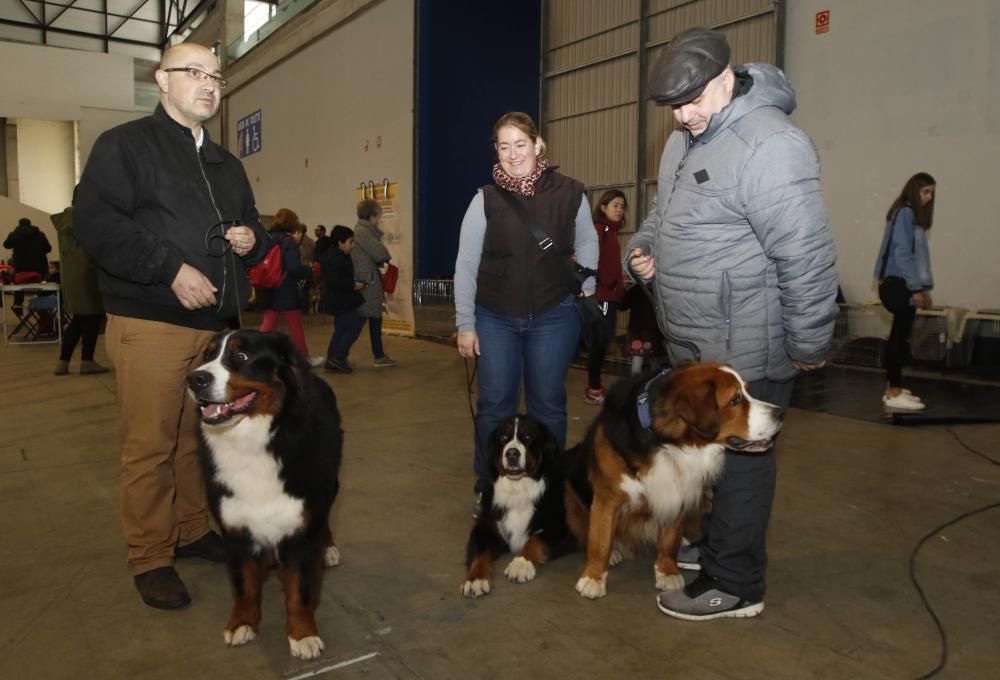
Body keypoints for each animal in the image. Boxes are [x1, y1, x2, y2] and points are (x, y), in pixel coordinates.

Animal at [188, 330, 344, 660]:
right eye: (207, 355)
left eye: (241, 356)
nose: (195, 379)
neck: (251, 442)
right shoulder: (235, 529)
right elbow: (244, 586)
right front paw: (242, 624)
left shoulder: (300, 528)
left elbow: (299, 593)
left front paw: (303, 636)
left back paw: (327, 549)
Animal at [460, 418, 580, 596]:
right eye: (504, 437)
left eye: (528, 436)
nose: (511, 453)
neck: (517, 490)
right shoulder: (486, 527)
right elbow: (480, 552)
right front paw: (476, 579)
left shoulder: (564, 528)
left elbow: (535, 540)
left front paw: (520, 564)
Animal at [568, 364, 784, 596]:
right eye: (735, 400)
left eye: (747, 391)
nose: (781, 413)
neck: (669, 442)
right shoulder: (608, 498)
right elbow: (600, 540)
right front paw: (593, 577)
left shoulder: (678, 492)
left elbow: (669, 540)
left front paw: (667, 571)